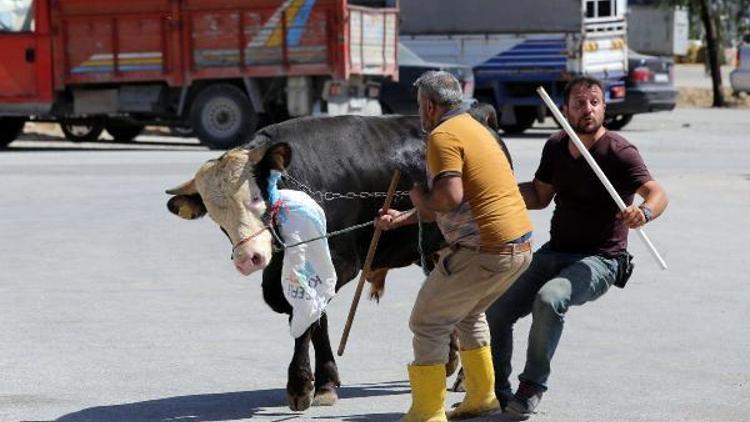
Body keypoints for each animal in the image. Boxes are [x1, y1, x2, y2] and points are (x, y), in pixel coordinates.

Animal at [166, 114, 446, 408]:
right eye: (215, 215)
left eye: (255, 197)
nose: (249, 258)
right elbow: (318, 322)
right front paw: (326, 382)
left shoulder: (337, 263)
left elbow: (306, 320)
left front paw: (300, 386)